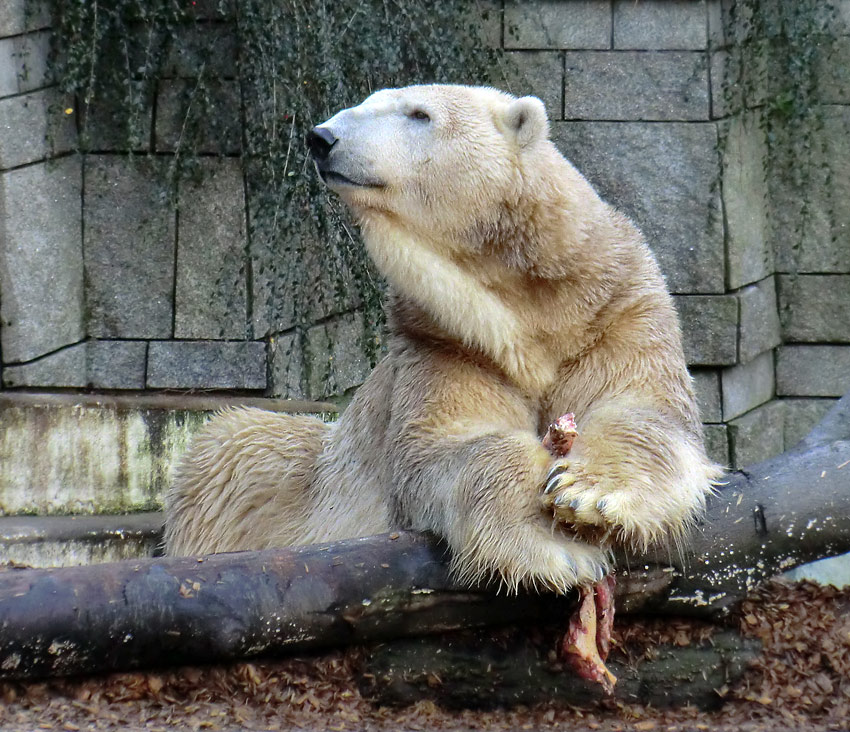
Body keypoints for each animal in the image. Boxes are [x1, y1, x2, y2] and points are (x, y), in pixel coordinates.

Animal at [164, 83, 716, 592]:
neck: (531, 305)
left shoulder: (617, 311)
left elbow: (645, 413)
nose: (322, 137)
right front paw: (551, 545)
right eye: (366, 101)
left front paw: (587, 493)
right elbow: (453, 446)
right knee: (235, 442)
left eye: (419, 114)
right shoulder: (448, 342)